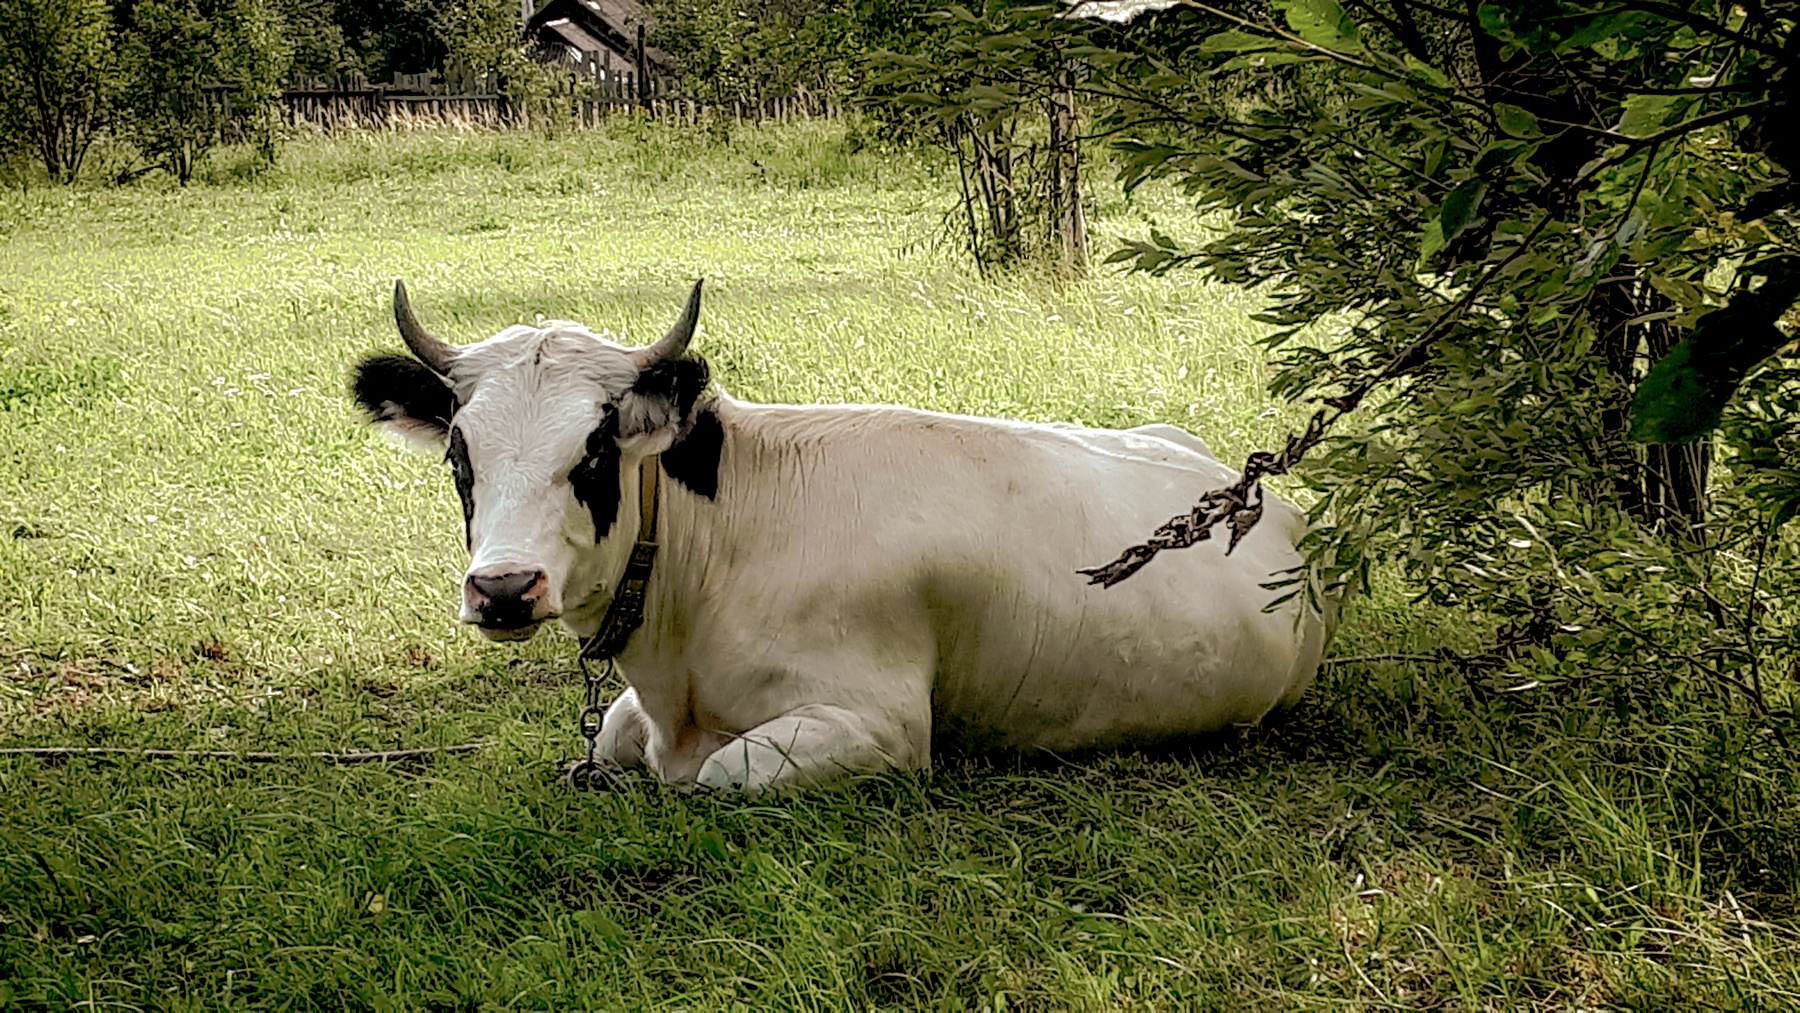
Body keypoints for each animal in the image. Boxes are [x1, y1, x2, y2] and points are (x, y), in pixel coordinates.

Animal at [349, 280, 1337, 791]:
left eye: (592, 451)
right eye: (461, 455)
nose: (502, 589)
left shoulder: (883, 724)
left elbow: (722, 773)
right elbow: (606, 736)